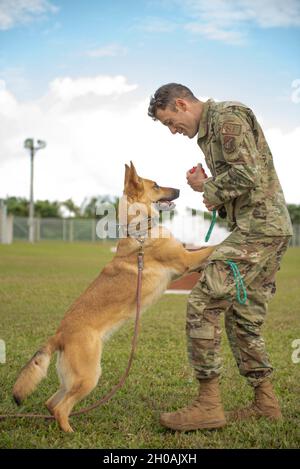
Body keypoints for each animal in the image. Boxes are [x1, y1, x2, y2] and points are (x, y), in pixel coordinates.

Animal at [12, 162, 214, 432]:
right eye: (156, 185)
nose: (181, 189)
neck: (140, 231)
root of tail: (59, 334)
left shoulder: (187, 262)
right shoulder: (185, 260)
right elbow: (212, 248)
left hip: (72, 379)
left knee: (51, 403)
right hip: (89, 377)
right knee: (61, 408)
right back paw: (70, 433)